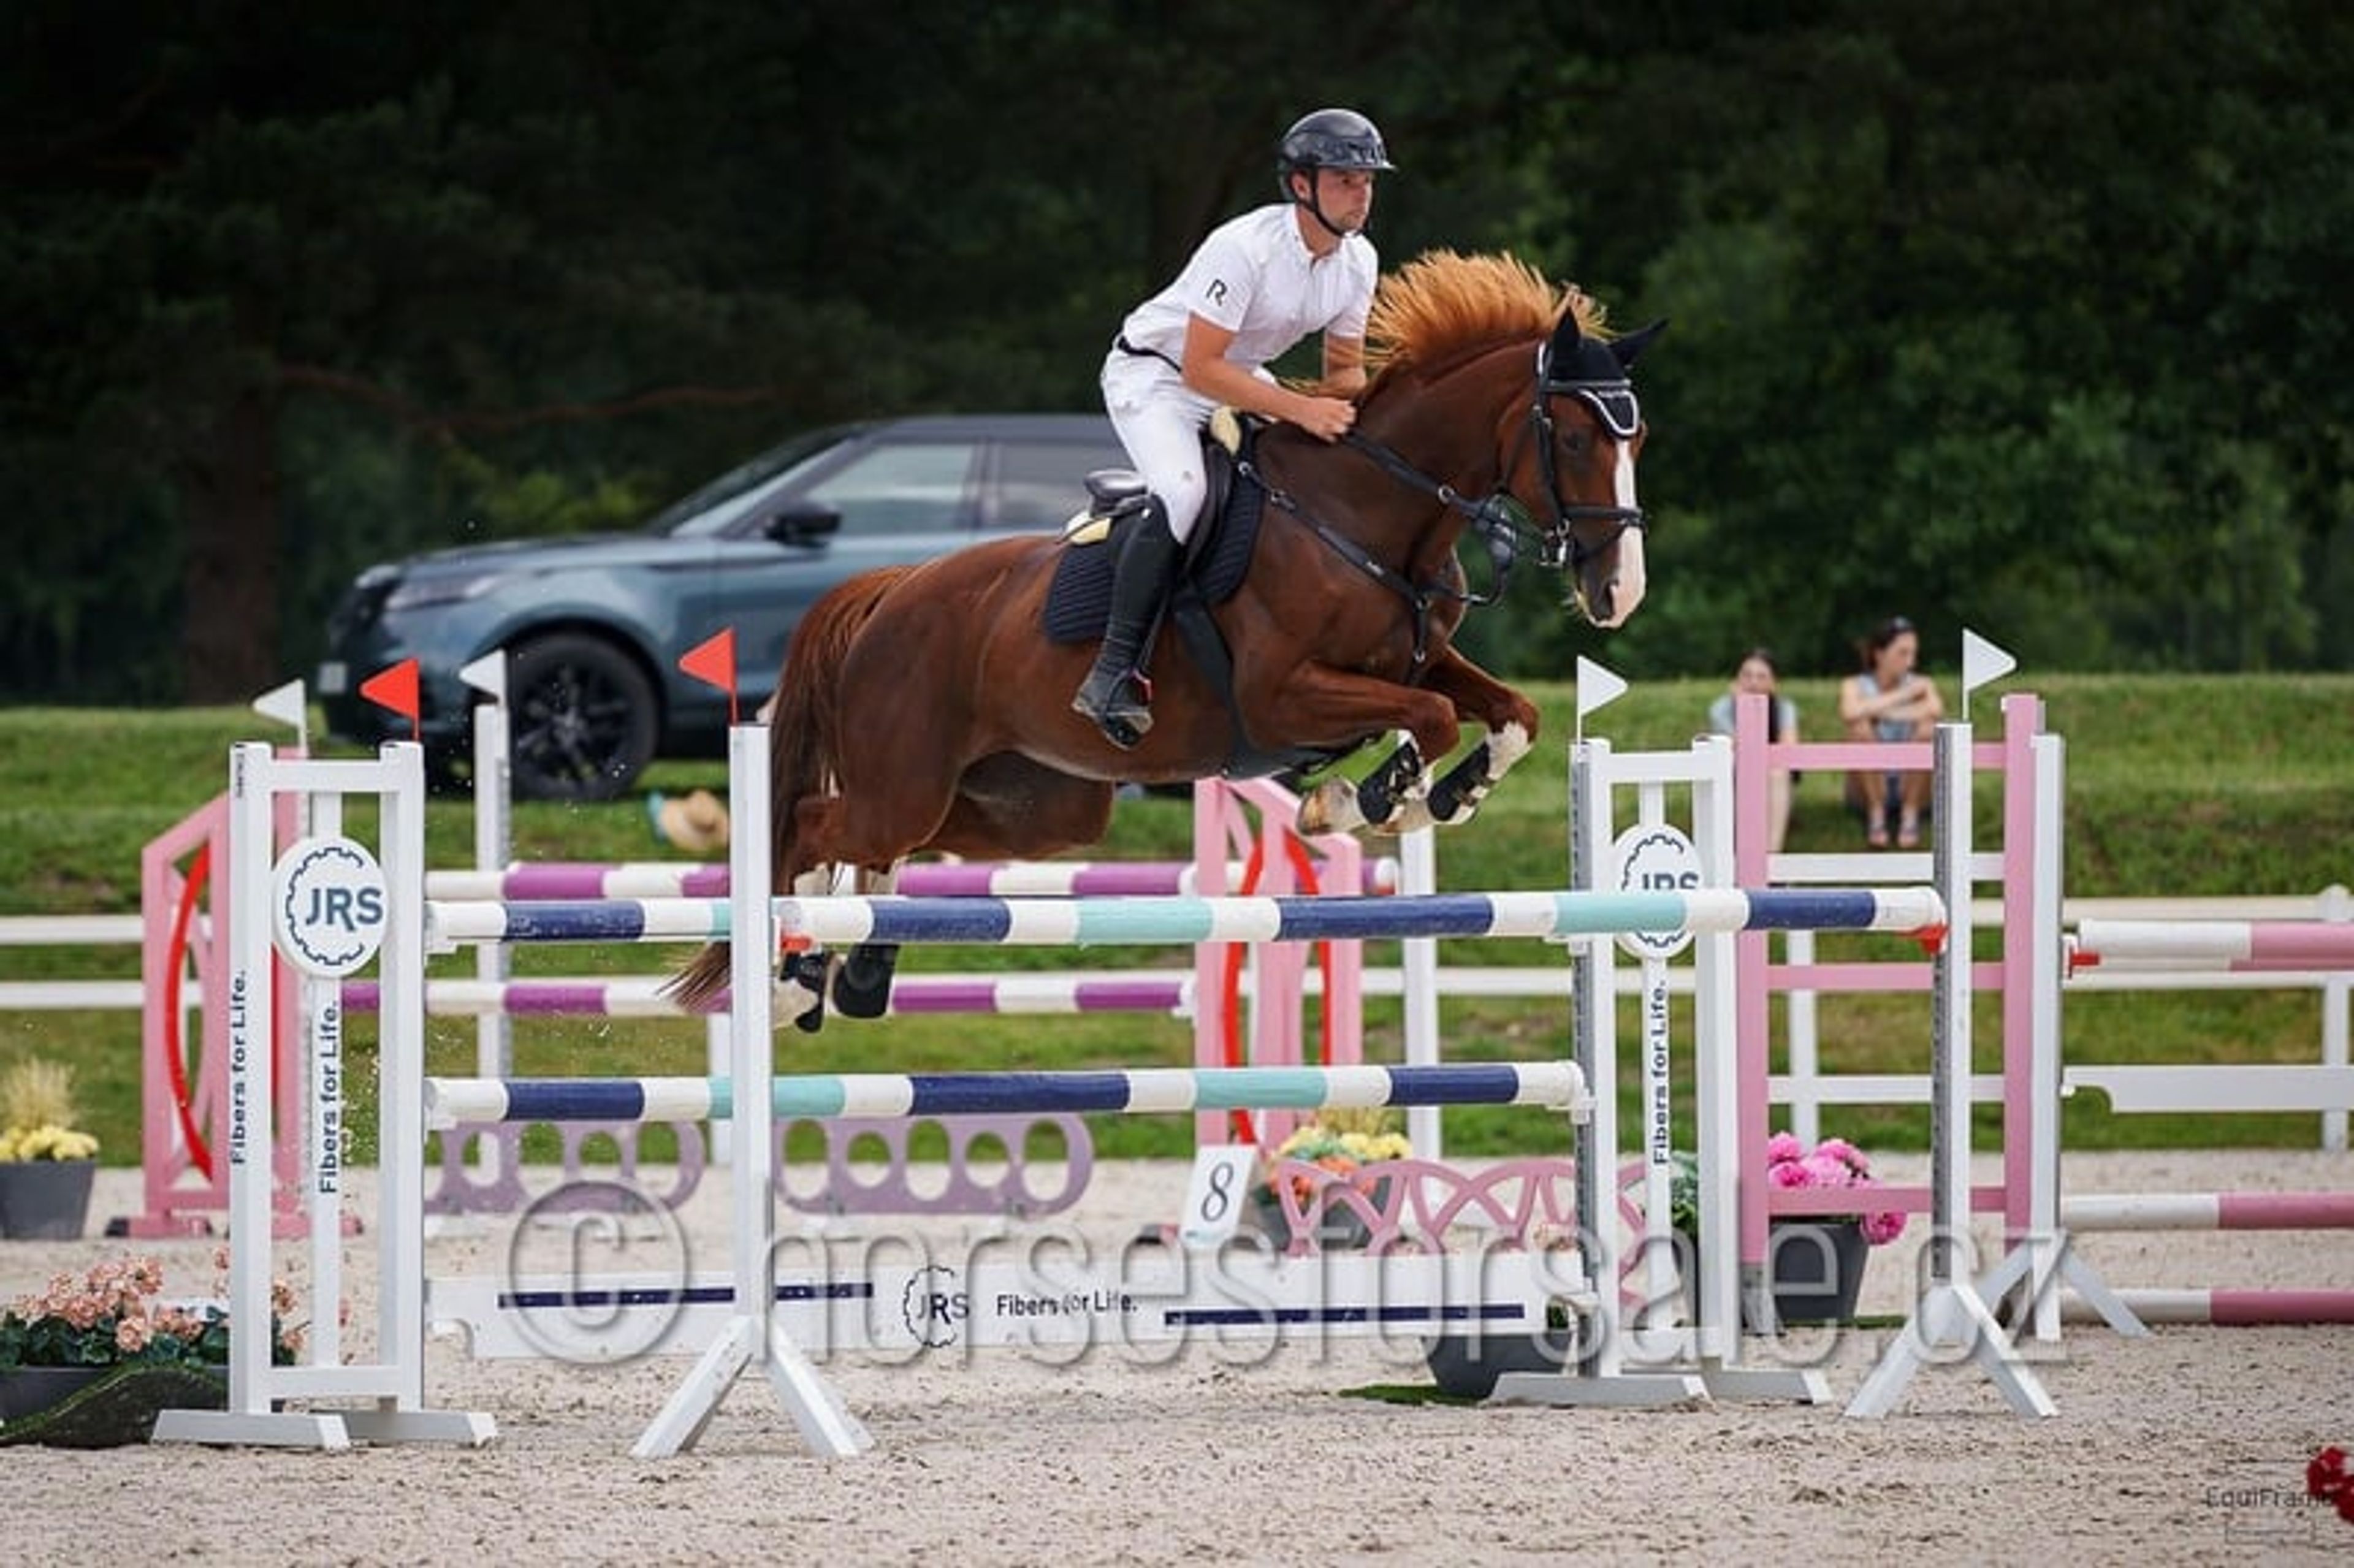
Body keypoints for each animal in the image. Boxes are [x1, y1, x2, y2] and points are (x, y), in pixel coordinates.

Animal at [668, 249, 1663, 1026]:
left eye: (1638, 436)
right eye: (1576, 437)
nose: (1619, 593)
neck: (1368, 514)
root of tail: (890, 591)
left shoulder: (1422, 658)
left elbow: (1512, 713)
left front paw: (1438, 796)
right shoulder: (1282, 694)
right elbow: (1429, 718)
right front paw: (1364, 797)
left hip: (1032, 805)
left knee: (890, 843)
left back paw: (858, 971)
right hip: (907, 776)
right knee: (811, 822)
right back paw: (794, 978)